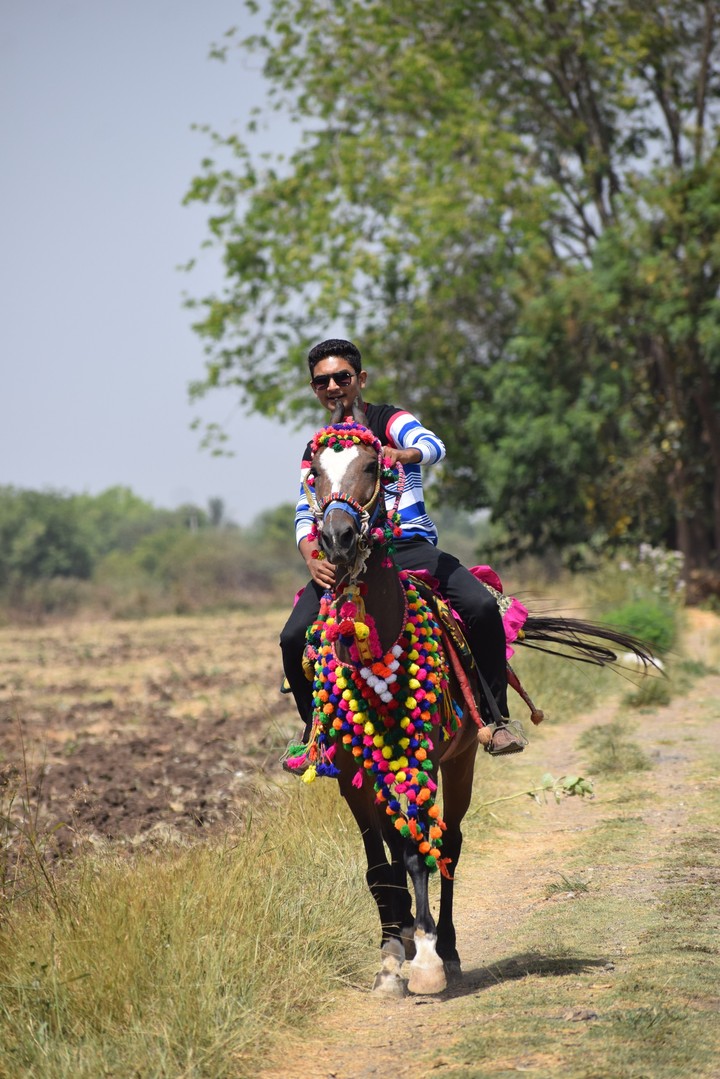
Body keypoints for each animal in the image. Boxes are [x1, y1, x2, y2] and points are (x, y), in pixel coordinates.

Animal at [285, 404, 656, 997]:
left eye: (374, 465)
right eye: (314, 472)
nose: (338, 538)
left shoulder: (425, 760)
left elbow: (418, 853)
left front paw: (426, 958)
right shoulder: (354, 777)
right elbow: (381, 863)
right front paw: (391, 956)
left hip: (460, 760)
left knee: (452, 845)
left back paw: (449, 949)